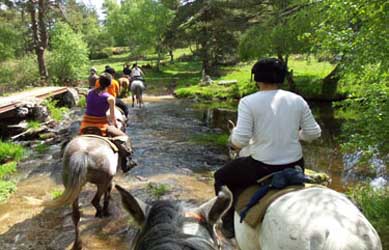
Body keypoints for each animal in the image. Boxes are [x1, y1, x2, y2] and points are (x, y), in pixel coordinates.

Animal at [44, 109, 133, 250]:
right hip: (102, 181)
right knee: (95, 200)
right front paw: (107, 209)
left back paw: (78, 244)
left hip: (73, 186)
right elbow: (108, 194)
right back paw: (101, 213)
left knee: (76, 215)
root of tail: (82, 153)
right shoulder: (110, 179)